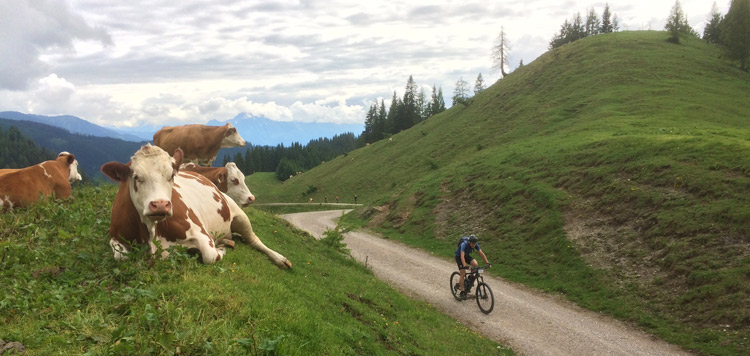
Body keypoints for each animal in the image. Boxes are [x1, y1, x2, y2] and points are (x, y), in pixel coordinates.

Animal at [98, 143, 290, 268]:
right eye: (136, 176)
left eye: (171, 175)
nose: (160, 205)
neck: (151, 231)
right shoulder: (114, 235)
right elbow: (120, 257)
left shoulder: (201, 233)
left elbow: (211, 255)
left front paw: (221, 249)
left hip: (239, 215)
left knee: (254, 240)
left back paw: (279, 258)